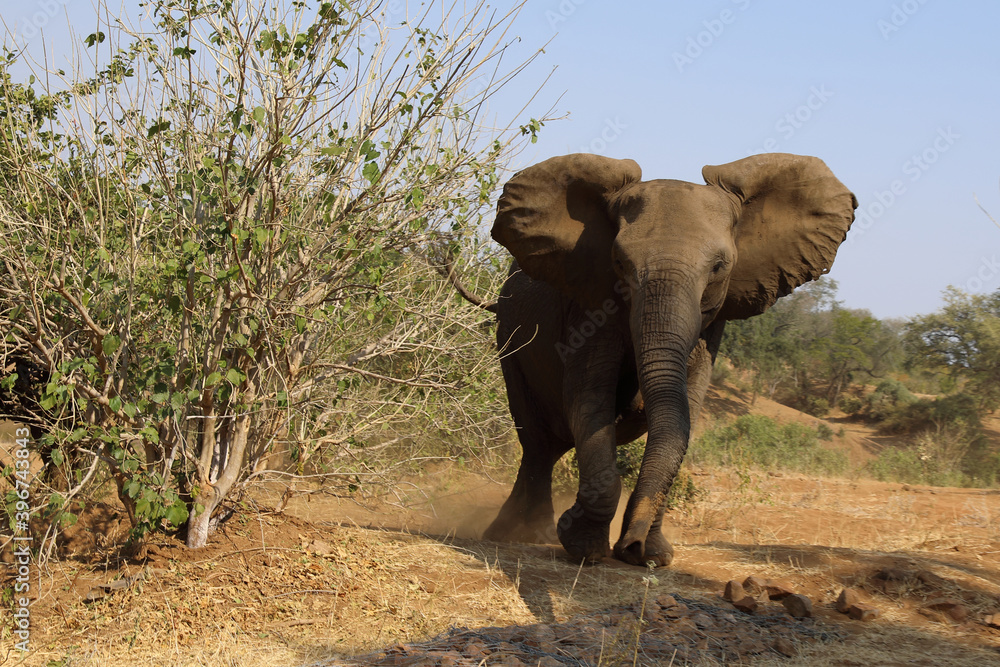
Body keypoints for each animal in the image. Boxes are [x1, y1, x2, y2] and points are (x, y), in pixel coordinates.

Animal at [481, 152, 857, 567]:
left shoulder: (711, 327)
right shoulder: (589, 307)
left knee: (550, 443)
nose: (632, 546)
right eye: (619, 262)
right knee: (536, 441)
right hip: (509, 339)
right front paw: (583, 547)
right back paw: (525, 535)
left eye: (719, 267)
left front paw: (652, 555)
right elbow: (588, 401)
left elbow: (686, 406)